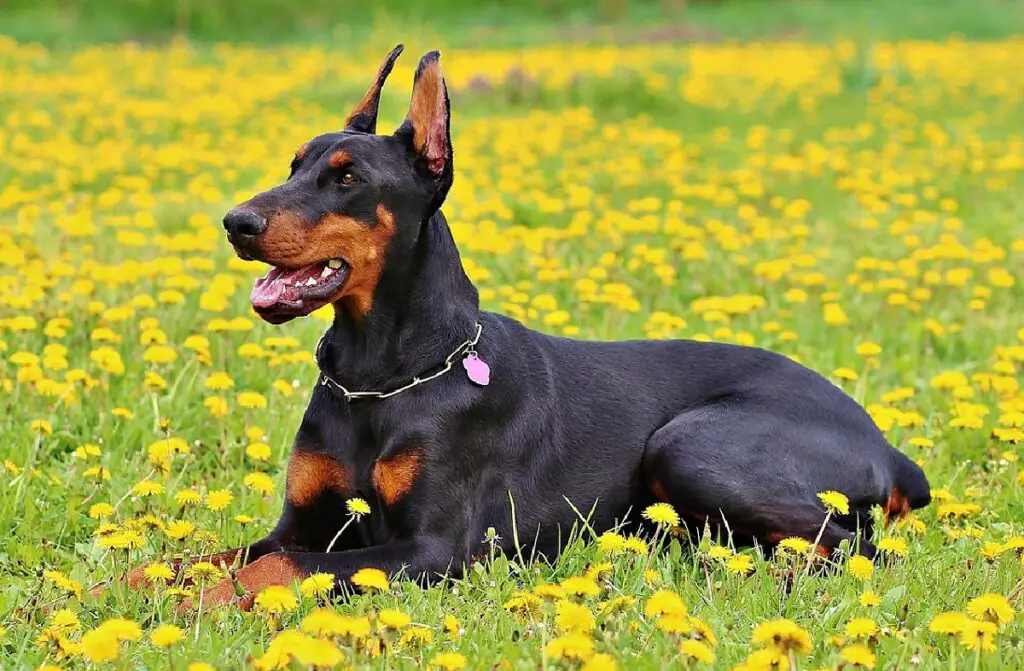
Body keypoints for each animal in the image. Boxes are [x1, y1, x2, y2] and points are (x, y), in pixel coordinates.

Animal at [132, 44, 933, 606]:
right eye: (294, 163)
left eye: (348, 177)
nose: (236, 222)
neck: (383, 375)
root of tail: (889, 448)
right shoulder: (303, 520)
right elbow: (200, 555)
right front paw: (133, 584)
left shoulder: (431, 550)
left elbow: (280, 567)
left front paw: (199, 604)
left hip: (691, 444)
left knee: (852, 546)